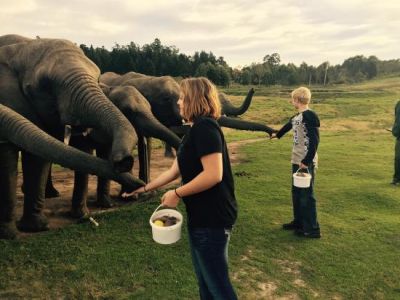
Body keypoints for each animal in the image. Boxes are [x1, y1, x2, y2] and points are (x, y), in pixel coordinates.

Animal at [0, 34, 143, 239]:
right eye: (44, 86)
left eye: (97, 76)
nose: (123, 161)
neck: (22, 47)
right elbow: (8, 156)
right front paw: (11, 235)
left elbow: (38, 157)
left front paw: (35, 228)